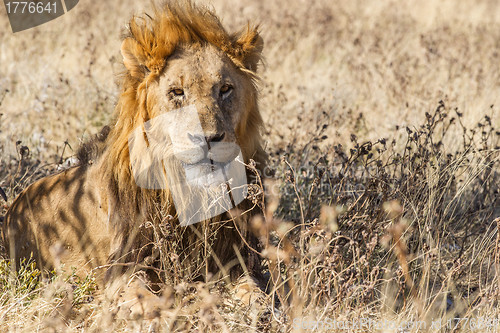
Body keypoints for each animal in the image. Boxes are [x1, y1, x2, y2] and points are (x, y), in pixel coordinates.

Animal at [1, 0, 268, 304]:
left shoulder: (236, 257)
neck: (188, 193)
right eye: (177, 92)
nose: (209, 139)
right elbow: (143, 299)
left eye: (225, 89)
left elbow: (255, 290)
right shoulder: (124, 267)